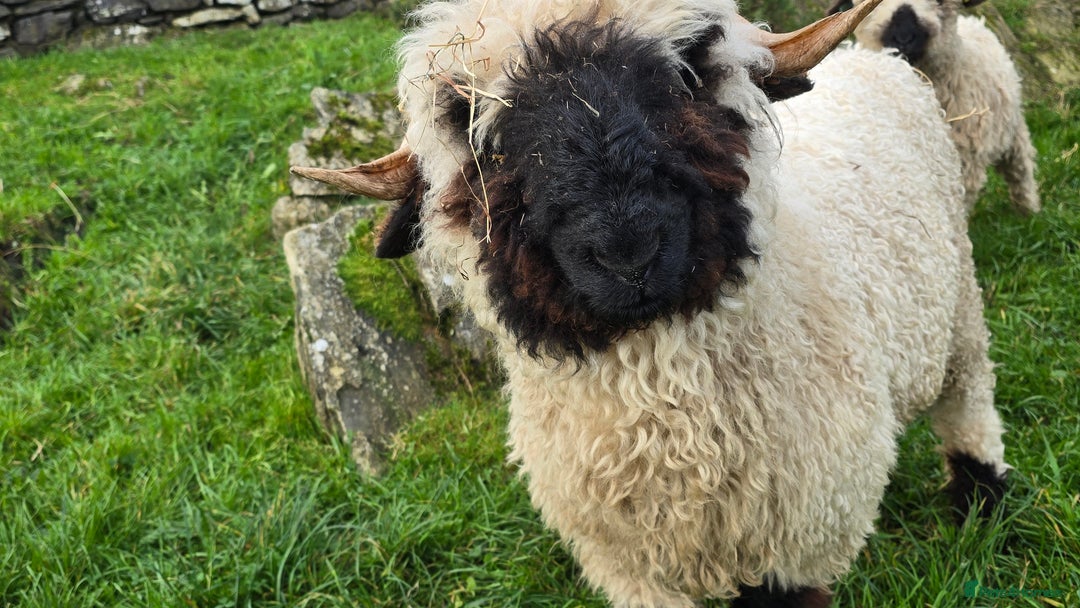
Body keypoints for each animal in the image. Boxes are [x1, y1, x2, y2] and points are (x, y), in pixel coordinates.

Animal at [291, 0, 1010, 605]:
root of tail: (874, 60)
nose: (627, 251)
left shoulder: (804, 543)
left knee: (968, 395)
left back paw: (981, 495)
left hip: (960, 305)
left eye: (691, 68)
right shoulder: (626, 564)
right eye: (467, 123)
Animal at [828, 0, 1040, 216]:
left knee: (1021, 165)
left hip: (1013, 130)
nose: (904, 36)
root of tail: (974, 21)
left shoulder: (965, 165)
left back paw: (1029, 209)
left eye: (941, 3)